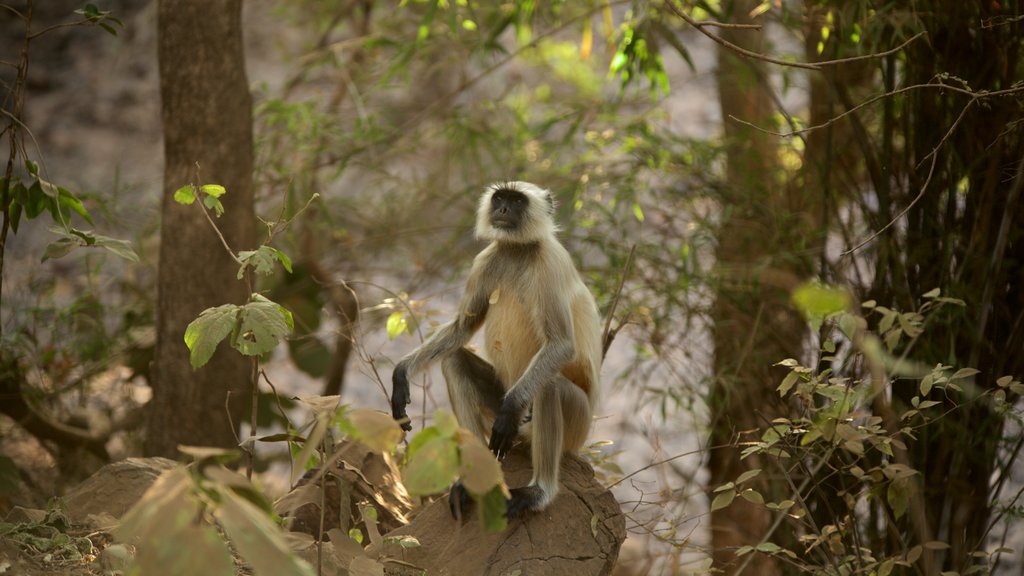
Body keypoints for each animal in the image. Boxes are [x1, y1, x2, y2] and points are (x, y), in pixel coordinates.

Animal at [389, 179, 598, 516]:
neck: (517, 250)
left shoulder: (550, 262)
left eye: (517, 201)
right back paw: (474, 479)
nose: (502, 210)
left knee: (548, 384)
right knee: (454, 361)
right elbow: (464, 327)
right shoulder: (485, 261)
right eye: (500, 198)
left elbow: (561, 345)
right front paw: (401, 374)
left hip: (576, 426)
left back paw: (539, 492)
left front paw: (511, 410)